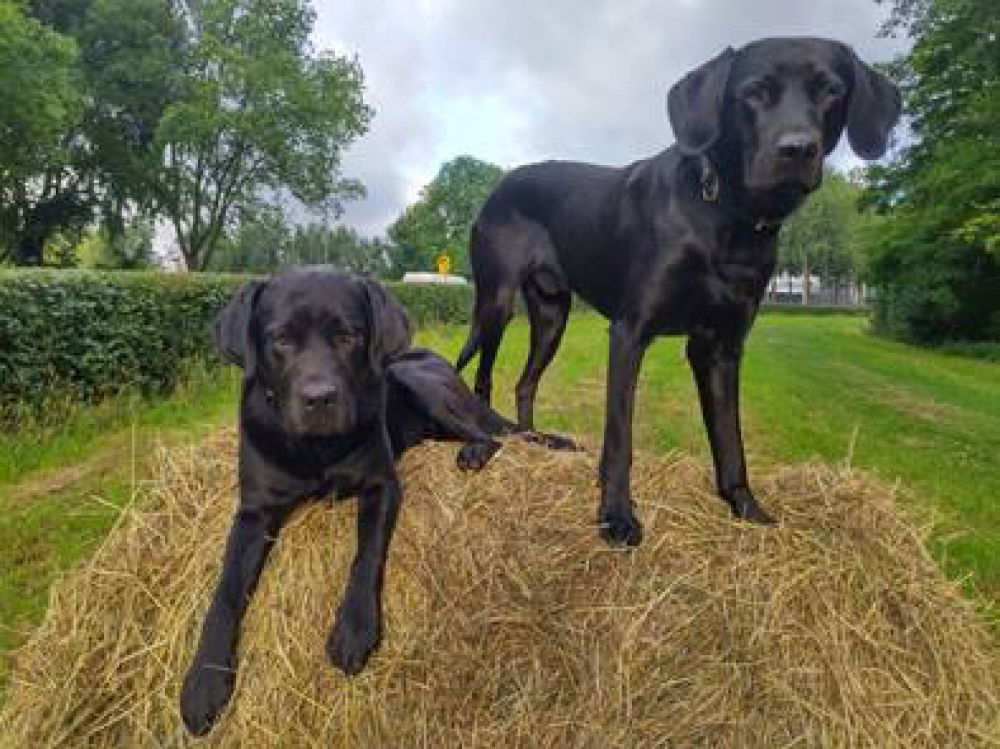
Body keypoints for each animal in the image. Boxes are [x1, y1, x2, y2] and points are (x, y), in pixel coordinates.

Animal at [180, 266, 572, 732]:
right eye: (281, 339)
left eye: (348, 336)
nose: (319, 398)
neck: (317, 450)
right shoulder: (254, 512)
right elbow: (224, 592)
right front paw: (203, 681)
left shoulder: (381, 486)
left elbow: (366, 556)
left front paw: (355, 628)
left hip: (424, 384)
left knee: (495, 434)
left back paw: (475, 451)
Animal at [458, 36, 904, 544]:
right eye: (754, 92)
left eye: (831, 91)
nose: (797, 149)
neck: (728, 218)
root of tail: (500, 184)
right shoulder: (630, 332)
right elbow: (619, 438)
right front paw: (616, 515)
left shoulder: (720, 348)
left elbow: (731, 442)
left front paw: (748, 510)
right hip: (496, 303)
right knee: (484, 377)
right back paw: (483, 446)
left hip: (552, 314)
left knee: (525, 382)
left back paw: (535, 441)